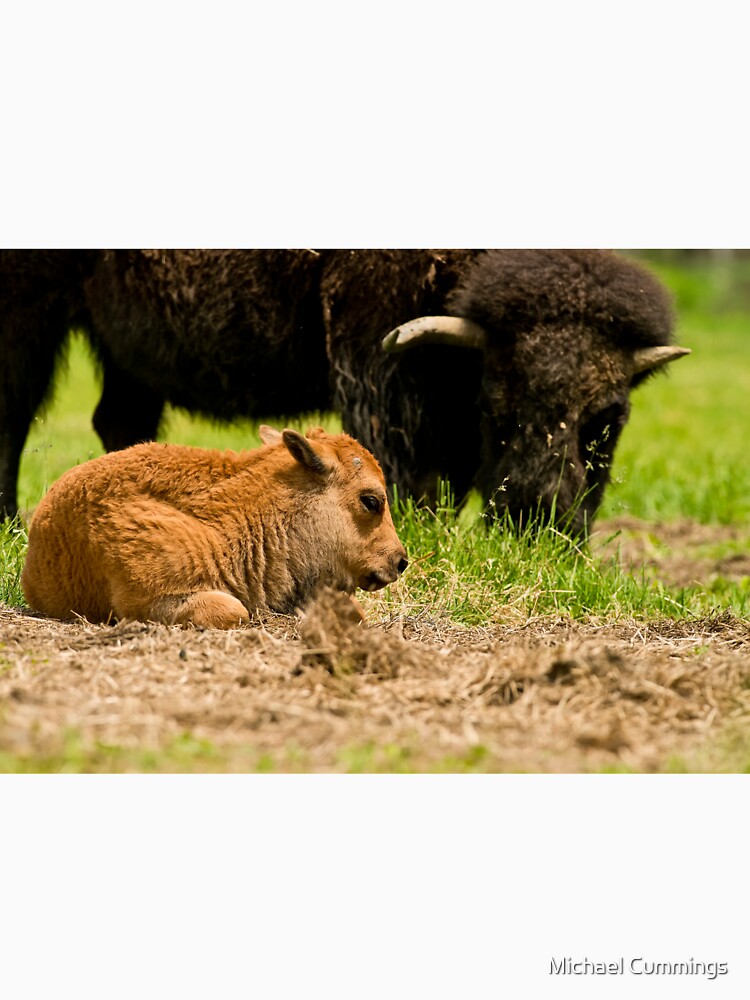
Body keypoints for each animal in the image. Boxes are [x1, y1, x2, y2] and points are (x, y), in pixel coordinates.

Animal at [1, 249, 689, 535]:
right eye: (496, 404)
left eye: (608, 417)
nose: (540, 521)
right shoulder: (376, 365)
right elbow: (408, 471)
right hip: (33, 310)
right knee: (15, 410)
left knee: (121, 423)